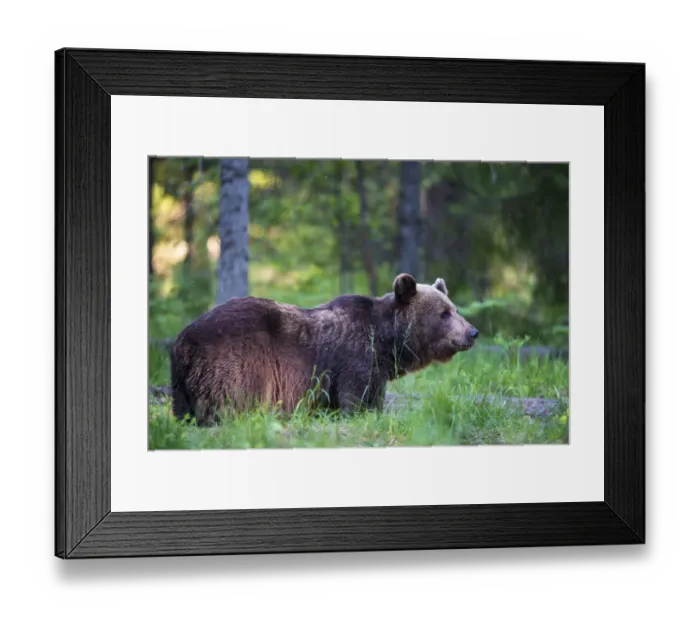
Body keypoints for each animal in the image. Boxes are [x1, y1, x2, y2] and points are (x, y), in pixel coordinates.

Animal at [169, 273, 479, 425]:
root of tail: (182, 339)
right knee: (227, 401)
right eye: (444, 314)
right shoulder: (354, 362)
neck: (385, 343)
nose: (472, 332)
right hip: (234, 363)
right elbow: (356, 400)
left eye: (455, 309)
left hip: (183, 384)